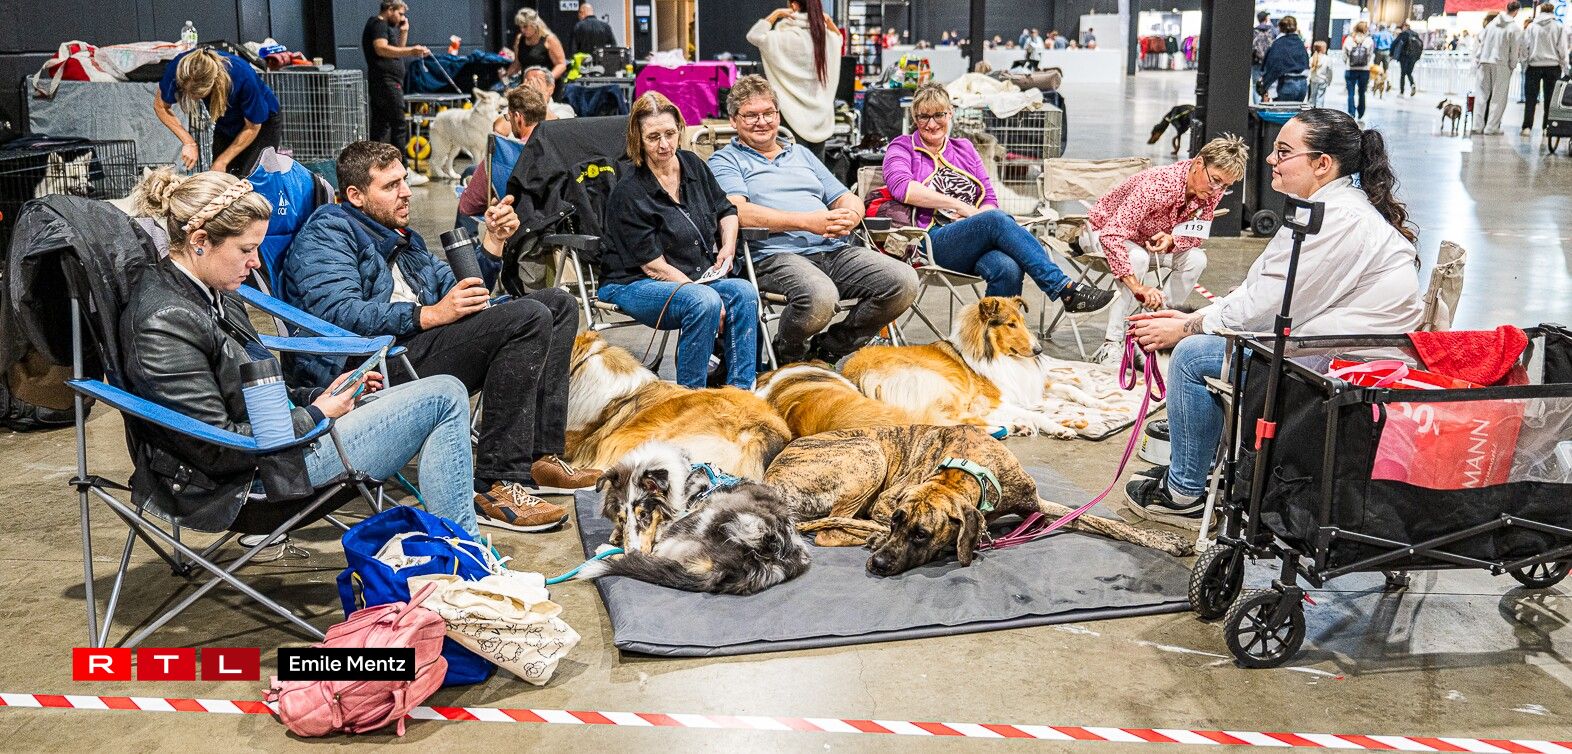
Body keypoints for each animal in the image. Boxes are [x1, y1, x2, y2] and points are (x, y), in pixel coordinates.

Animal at [579, 442, 810, 595]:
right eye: (621, 518)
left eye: (644, 515)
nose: (632, 551)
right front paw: (616, 534)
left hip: (698, 519)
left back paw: (606, 553)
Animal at [766, 425, 1191, 576]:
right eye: (899, 523)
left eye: (921, 534)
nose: (877, 565)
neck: (971, 469)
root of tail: (770, 476)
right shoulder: (888, 501)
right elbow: (871, 520)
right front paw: (878, 536)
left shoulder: (1038, 506)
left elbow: (1105, 522)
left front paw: (1166, 540)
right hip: (868, 453)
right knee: (832, 529)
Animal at [843, 297, 1117, 439]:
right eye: (1010, 324)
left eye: (1022, 321)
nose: (1038, 350)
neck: (1000, 357)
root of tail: (856, 373)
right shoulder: (992, 398)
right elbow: (1038, 413)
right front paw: (1059, 427)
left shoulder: (1028, 387)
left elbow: (1071, 389)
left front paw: (1102, 404)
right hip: (940, 385)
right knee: (948, 420)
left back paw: (1016, 426)